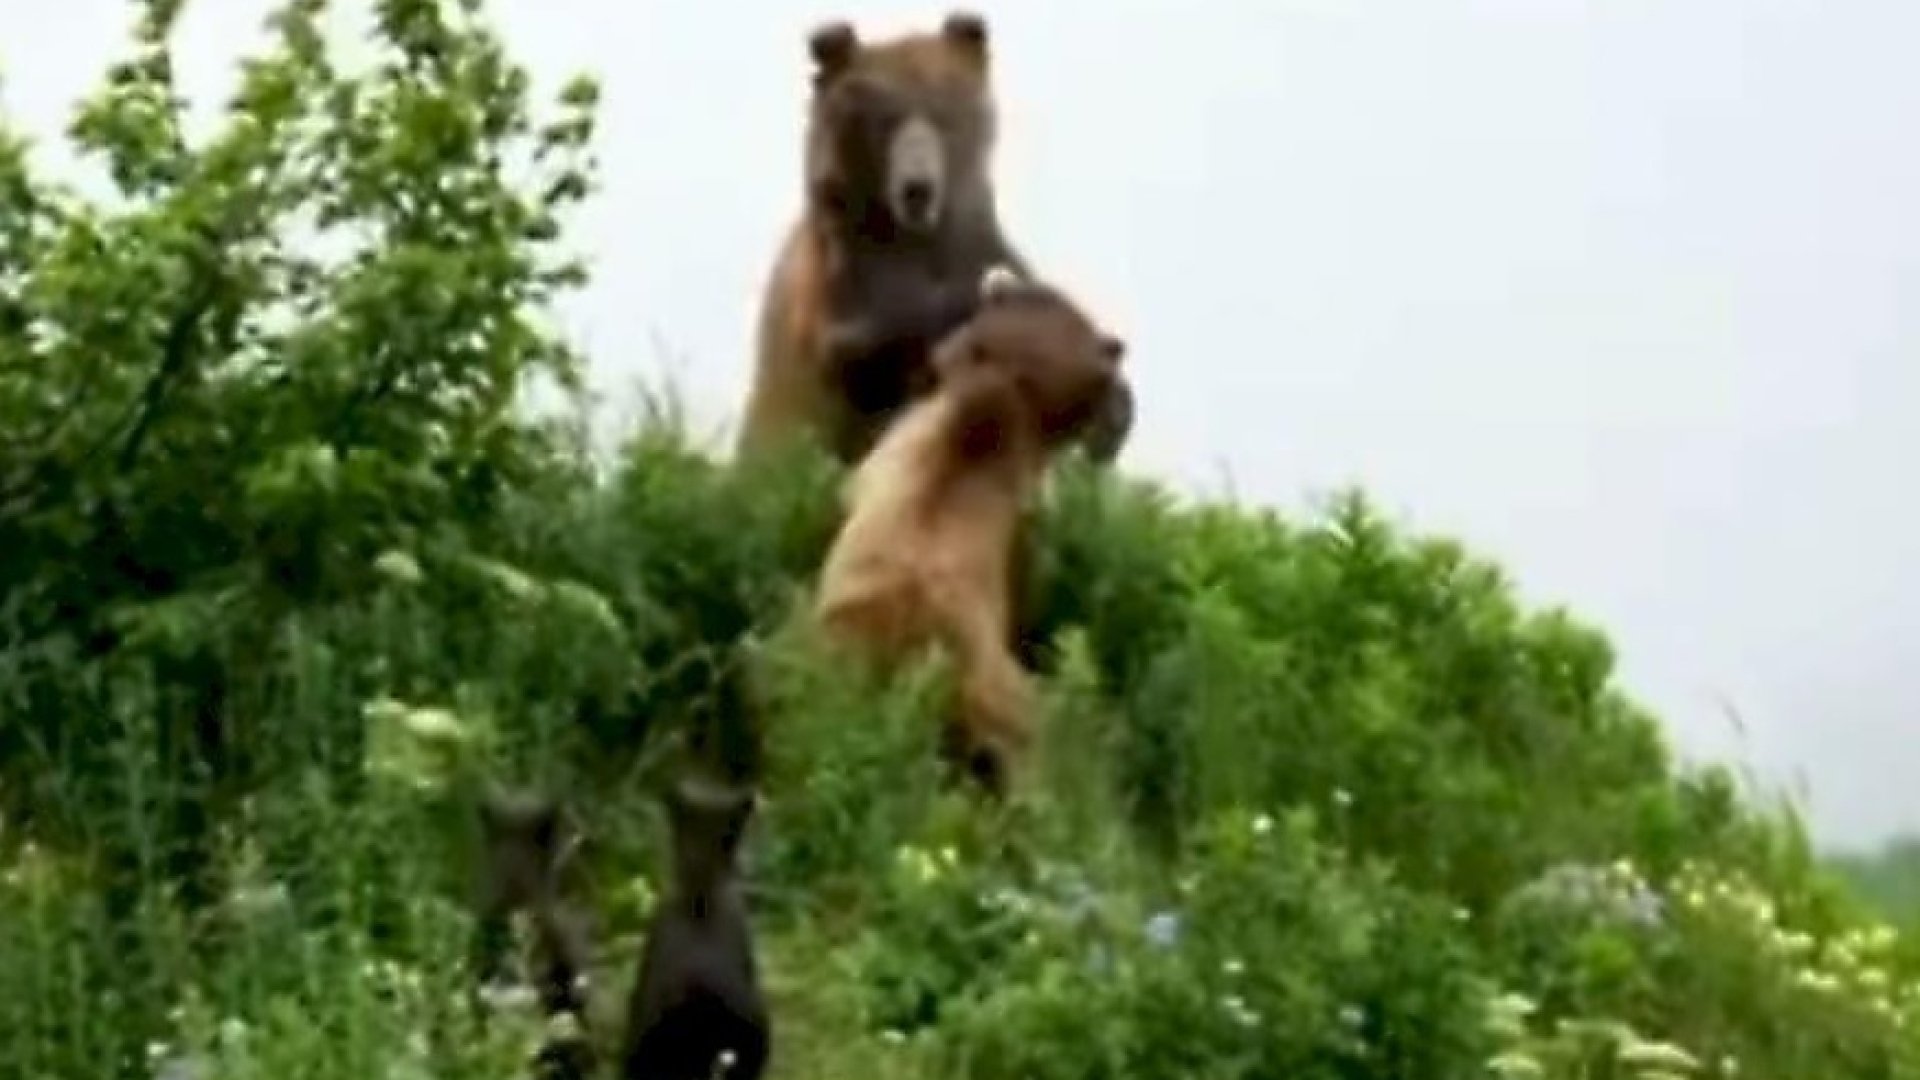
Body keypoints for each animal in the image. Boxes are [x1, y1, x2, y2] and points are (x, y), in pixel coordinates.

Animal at [737, 9, 1136, 466]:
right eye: (884, 119)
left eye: (943, 116)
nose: (918, 188)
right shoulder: (844, 302)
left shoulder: (979, 250)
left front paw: (1111, 413)